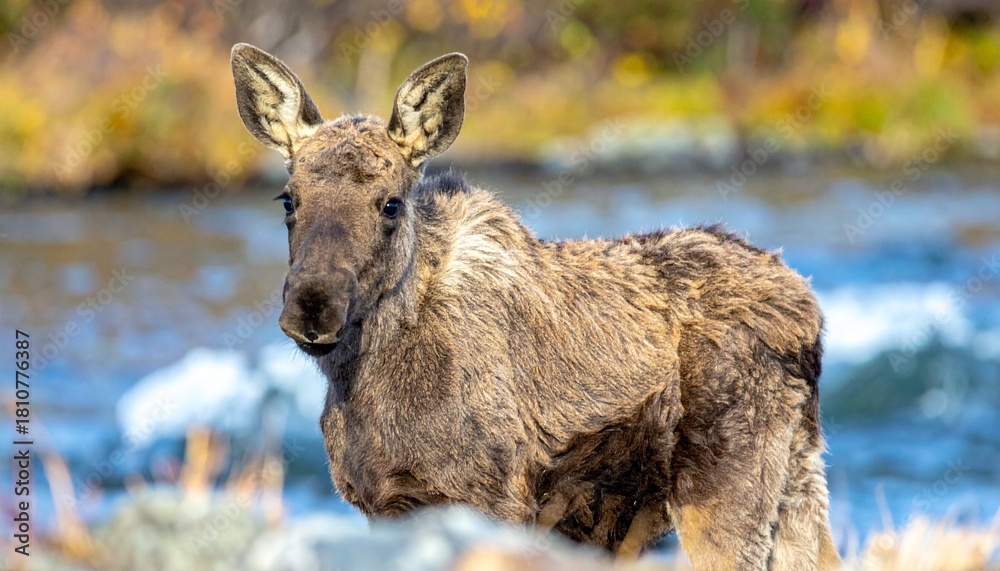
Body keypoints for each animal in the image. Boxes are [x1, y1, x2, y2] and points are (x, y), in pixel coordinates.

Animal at [230, 43, 843, 570]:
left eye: (391, 204)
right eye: (288, 200)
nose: (313, 310)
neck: (365, 385)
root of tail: (810, 311)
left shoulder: (493, 497)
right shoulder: (383, 503)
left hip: (727, 489)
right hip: (798, 478)